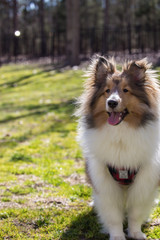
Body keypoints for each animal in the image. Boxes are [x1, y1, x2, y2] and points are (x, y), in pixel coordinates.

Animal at [76, 55, 160, 239]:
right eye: (107, 91)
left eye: (126, 90)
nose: (112, 102)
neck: (120, 132)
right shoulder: (104, 181)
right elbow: (113, 216)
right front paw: (117, 235)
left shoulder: (143, 181)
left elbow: (136, 212)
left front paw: (136, 233)